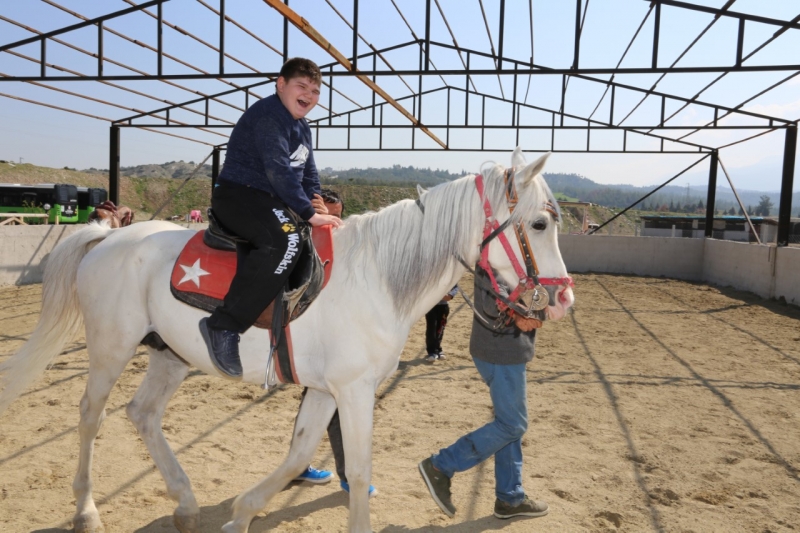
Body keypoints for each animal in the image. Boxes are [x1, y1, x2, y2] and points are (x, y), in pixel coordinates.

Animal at [0, 147, 576, 532]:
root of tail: (108, 236)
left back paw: (185, 503)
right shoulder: (354, 390)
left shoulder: (324, 390)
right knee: (90, 415)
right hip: (111, 348)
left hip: (171, 355)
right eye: (539, 224)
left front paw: (241, 514)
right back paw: (86, 509)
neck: (376, 277)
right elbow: (358, 469)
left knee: (141, 414)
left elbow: (299, 455)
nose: (562, 297)